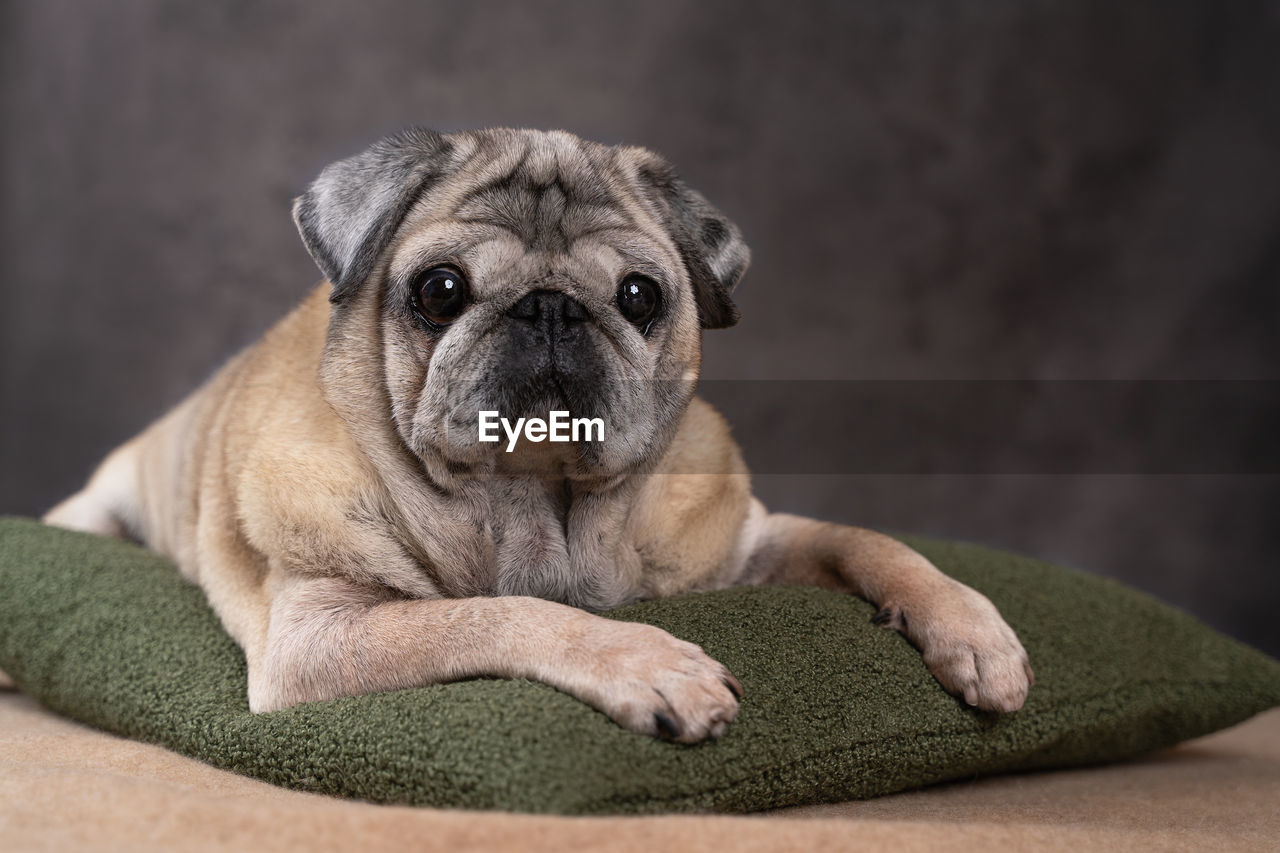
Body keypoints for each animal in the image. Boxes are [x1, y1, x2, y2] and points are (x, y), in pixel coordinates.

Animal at [45, 126, 1034, 737]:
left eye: (640, 296)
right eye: (438, 290)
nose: (551, 306)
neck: (535, 506)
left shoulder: (750, 547)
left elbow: (873, 541)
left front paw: (973, 631)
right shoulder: (317, 635)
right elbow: (496, 613)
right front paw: (644, 661)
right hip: (92, 507)